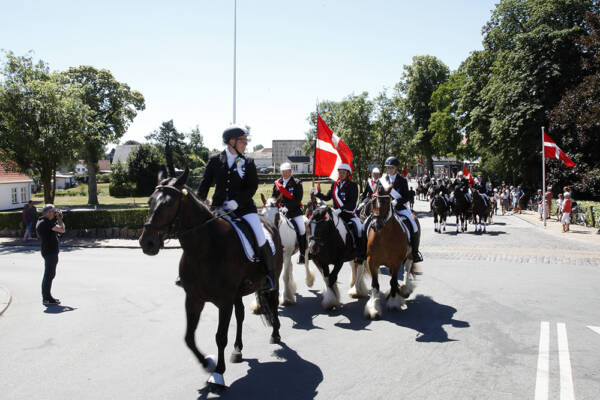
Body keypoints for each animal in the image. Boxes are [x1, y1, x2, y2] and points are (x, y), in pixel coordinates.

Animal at [138, 168, 284, 390]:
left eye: (169, 203)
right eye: (149, 201)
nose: (147, 242)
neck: (204, 248)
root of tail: (269, 223)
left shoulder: (224, 301)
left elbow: (220, 337)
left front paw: (218, 374)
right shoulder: (193, 299)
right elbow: (189, 337)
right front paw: (207, 362)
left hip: (272, 278)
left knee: (273, 303)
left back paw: (275, 334)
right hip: (237, 294)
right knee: (240, 315)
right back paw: (237, 350)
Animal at [364, 187, 420, 318]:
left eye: (387, 202)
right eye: (373, 202)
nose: (376, 225)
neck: (384, 236)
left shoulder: (396, 262)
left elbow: (394, 281)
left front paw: (393, 302)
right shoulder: (372, 261)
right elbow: (375, 284)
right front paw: (374, 307)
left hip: (410, 256)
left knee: (407, 270)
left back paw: (404, 289)